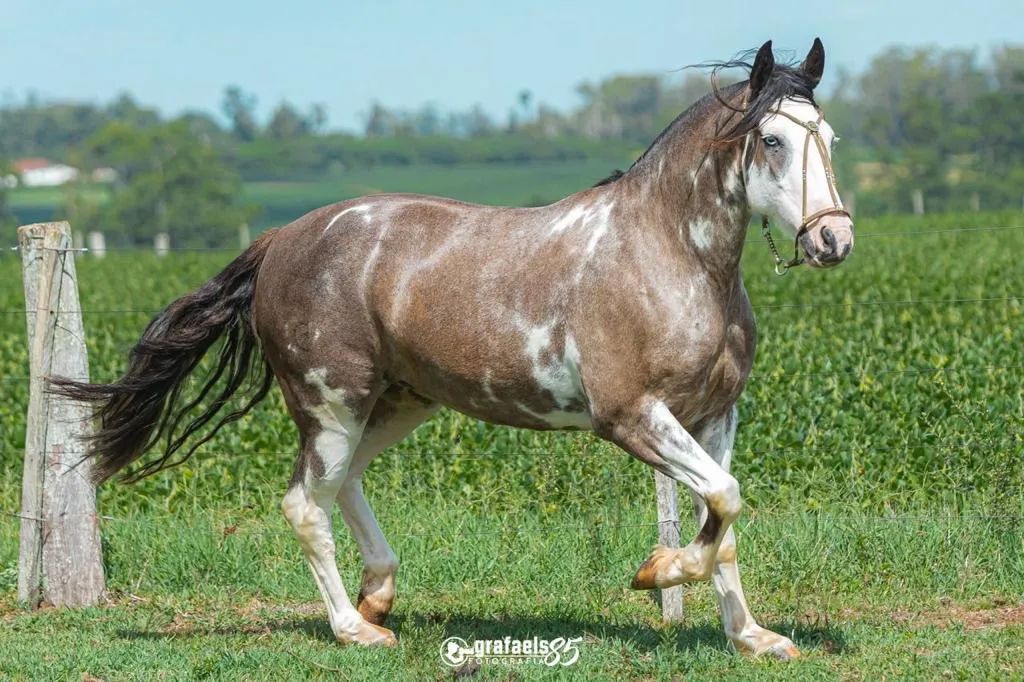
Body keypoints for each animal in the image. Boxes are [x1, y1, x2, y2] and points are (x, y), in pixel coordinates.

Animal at [53, 38, 853, 660]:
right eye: (773, 140)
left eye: (831, 138)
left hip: (401, 403)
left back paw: (379, 594)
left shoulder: (715, 416)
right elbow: (723, 501)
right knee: (305, 503)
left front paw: (752, 637)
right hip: (332, 403)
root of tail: (281, 240)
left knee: (345, 483)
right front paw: (655, 572)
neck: (670, 257)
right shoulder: (630, 416)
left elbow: (724, 520)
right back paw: (356, 630)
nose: (833, 240)